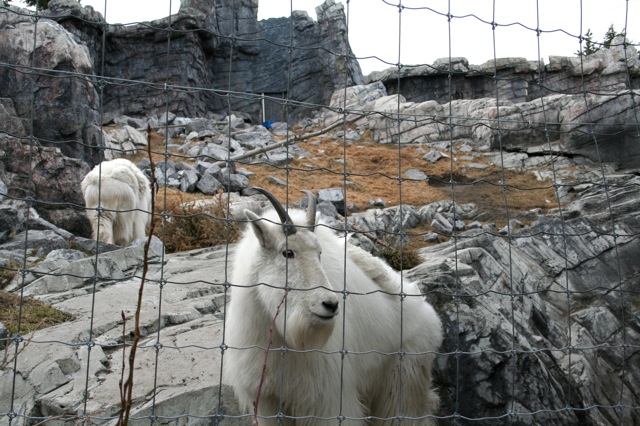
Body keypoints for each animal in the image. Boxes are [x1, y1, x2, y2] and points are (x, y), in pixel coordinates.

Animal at [224, 188, 442, 426]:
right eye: (287, 252)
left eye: (319, 253)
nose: (330, 305)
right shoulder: (267, 400)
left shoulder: (328, 400)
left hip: (403, 380)